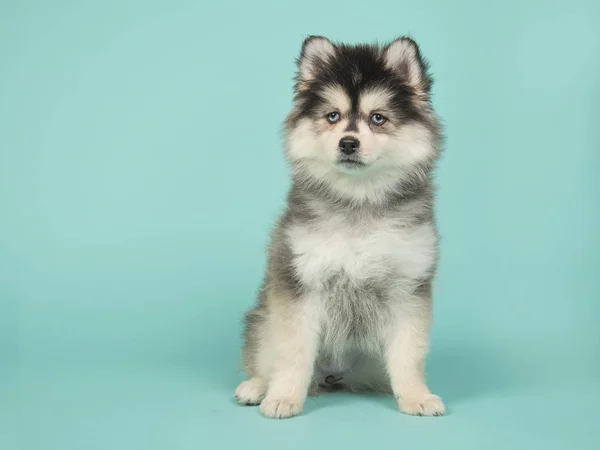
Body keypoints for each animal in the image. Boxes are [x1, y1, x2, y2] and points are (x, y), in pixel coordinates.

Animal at [234, 35, 446, 418]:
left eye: (378, 118)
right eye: (333, 116)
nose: (348, 142)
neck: (358, 201)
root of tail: (335, 378)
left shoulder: (408, 287)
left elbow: (408, 353)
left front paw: (416, 396)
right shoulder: (301, 282)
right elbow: (293, 352)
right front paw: (284, 396)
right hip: (262, 319)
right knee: (265, 356)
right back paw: (257, 387)